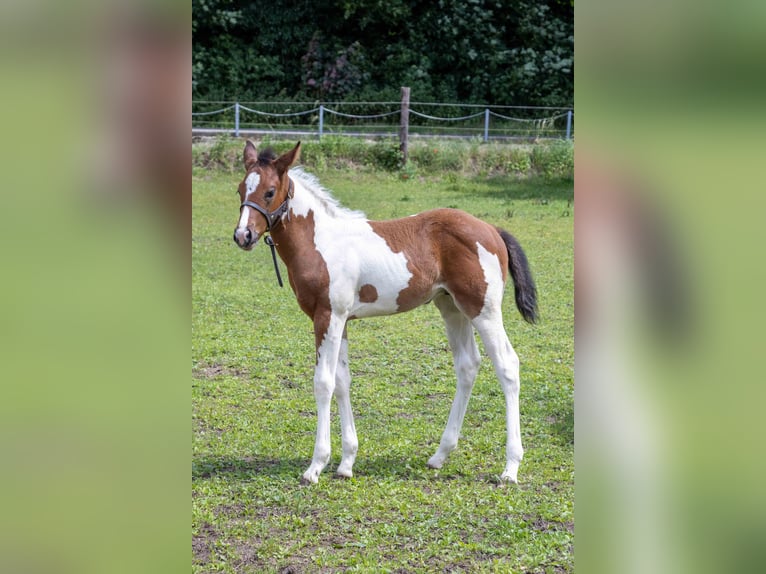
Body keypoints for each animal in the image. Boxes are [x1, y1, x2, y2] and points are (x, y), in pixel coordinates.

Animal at [232, 141, 538, 484]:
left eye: (270, 192)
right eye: (240, 189)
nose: (243, 236)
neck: (321, 241)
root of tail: (492, 229)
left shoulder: (328, 316)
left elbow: (323, 382)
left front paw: (316, 466)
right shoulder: (342, 321)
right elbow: (343, 380)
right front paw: (346, 462)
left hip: (483, 310)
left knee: (508, 366)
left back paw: (510, 467)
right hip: (451, 307)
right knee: (468, 365)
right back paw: (440, 455)